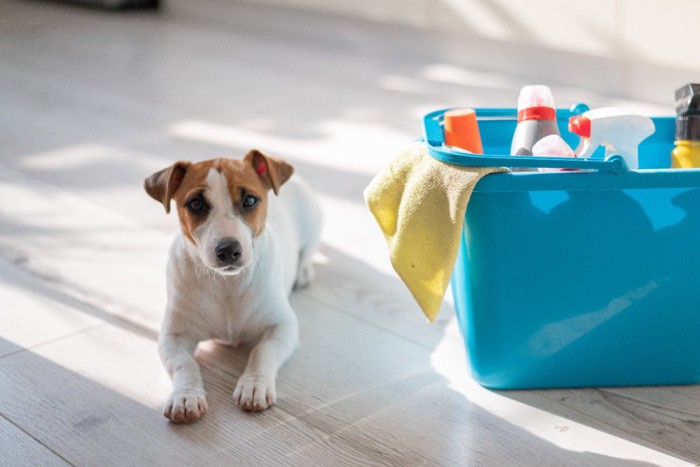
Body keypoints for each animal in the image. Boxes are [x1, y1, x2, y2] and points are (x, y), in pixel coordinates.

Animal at [146, 150, 326, 424]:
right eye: (196, 204)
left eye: (250, 200)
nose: (228, 249)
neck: (227, 284)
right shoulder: (172, 336)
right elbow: (185, 363)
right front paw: (186, 396)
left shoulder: (283, 327)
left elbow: (262, 351)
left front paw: (254, 385)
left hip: (313, 221)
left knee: (309, 249)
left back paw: (304, 271)